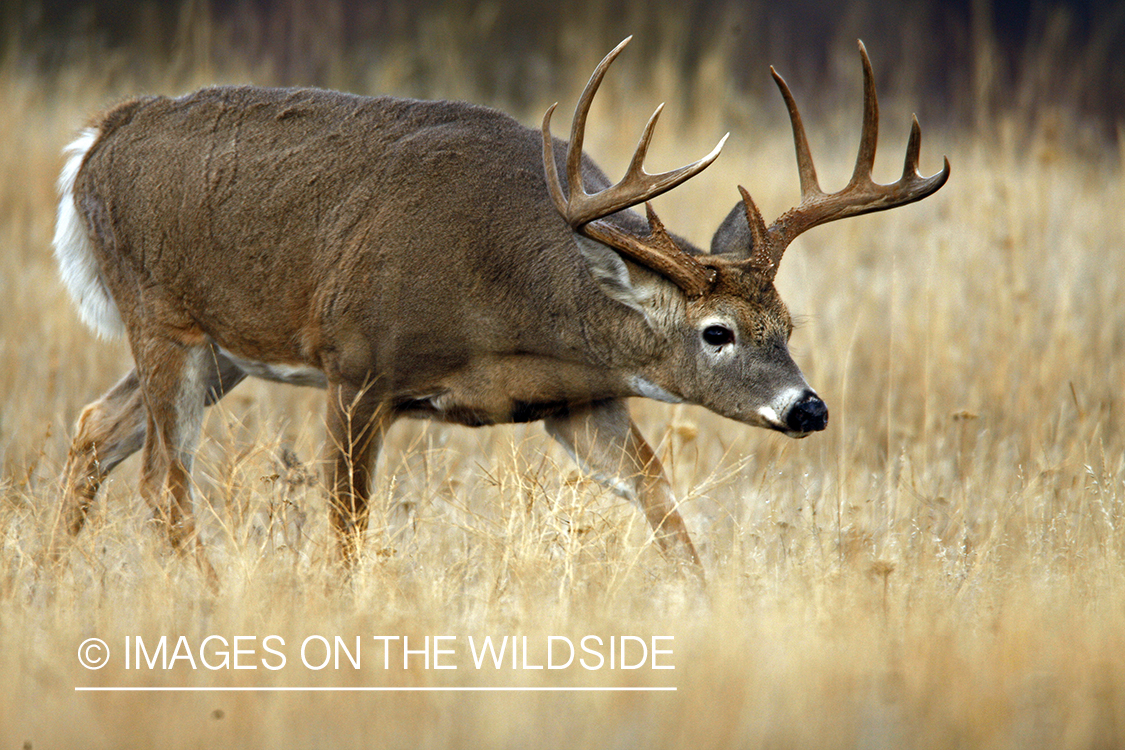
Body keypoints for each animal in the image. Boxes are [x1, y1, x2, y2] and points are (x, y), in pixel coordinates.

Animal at [52, 38, 949, 571]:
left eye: (787, 325)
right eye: (716, 332)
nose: (807, 408)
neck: (511, 309)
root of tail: (96, 139)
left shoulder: (578, 399)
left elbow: (662, 504)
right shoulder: (358, 364)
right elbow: (347, 526)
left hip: (223, 348)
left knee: (94, 428)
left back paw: (49, 578)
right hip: (161, 316)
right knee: (162, 480)